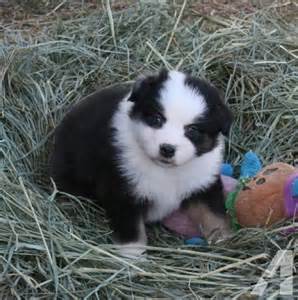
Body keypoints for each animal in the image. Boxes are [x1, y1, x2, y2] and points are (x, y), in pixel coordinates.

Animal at [50, 69, 234, 256]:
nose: (167, 149)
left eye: (193, 129)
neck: (166, 171)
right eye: (157, 119)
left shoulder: (203, 183)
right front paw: (132, 258)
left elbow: (213, 214)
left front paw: (225, 240)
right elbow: (132, 233)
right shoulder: (123, 191)